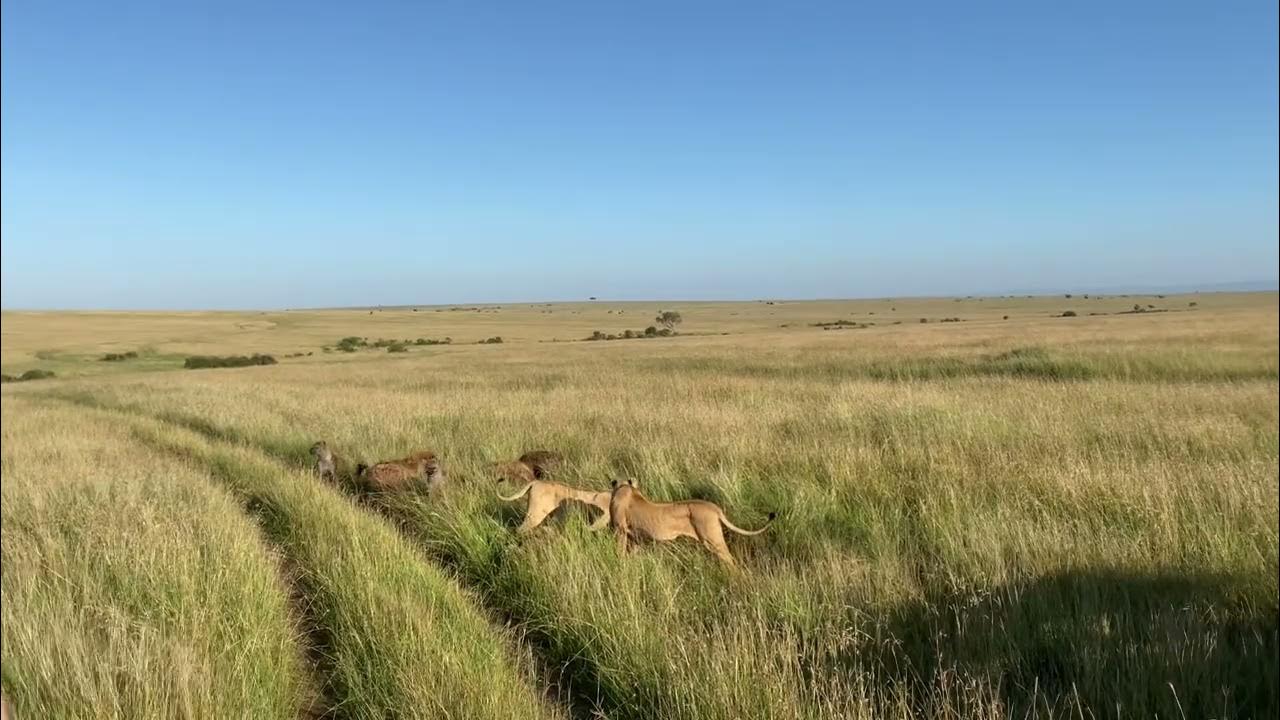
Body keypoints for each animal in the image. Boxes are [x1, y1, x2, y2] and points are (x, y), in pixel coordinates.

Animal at [608, 479, 776, 567]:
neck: (625, 488)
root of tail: (715, 508)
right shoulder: (635, 537)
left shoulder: (620, 530)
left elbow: (620, 552)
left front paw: (620, 564)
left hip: (712, 539)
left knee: (729, 559)